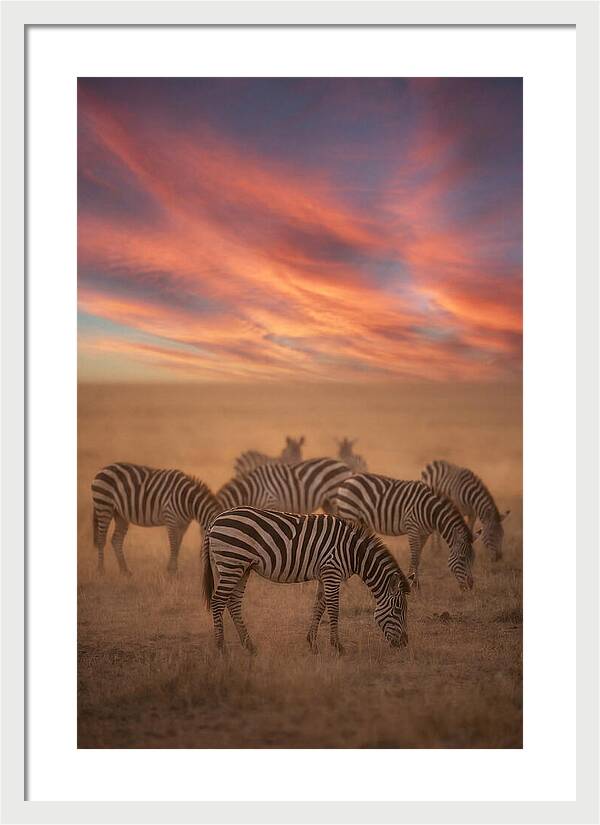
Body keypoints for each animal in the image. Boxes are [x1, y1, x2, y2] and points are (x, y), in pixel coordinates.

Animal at [92, 462, 220, 576]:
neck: (188, 501)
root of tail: (104, 468)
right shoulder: (170, 518)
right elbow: (174, 544)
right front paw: (172, 572)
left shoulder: (183, 525)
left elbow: (178, 545)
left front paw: (172, 570)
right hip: (104, 506)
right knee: (101, 539)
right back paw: (101, 570)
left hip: (120, 514)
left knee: (116, 540)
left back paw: (125, 571)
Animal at [202, 506, 410, 654]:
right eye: (398, 610)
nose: (404, 643)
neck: (353, 552)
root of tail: (216, 520)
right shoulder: (332, 572)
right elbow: (334, 608)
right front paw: (338, 646)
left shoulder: (325, 574)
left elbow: (319, 606)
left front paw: (312, 643)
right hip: (232, 562)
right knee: (218, 601)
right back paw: (221, 647)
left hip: (241, 567)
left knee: (233, 602)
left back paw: (249, 646)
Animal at [330, 473, 481, 591]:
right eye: (462, 558)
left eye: (473, 559)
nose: (470, 586)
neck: (431, 511)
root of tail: (348, 480)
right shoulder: (412, 527)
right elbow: (414, 556)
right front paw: (414, 583)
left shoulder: (425, 533)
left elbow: (418, 557)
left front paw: (415, 583)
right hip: (350, 513)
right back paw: (346, 584)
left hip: (362, 521)